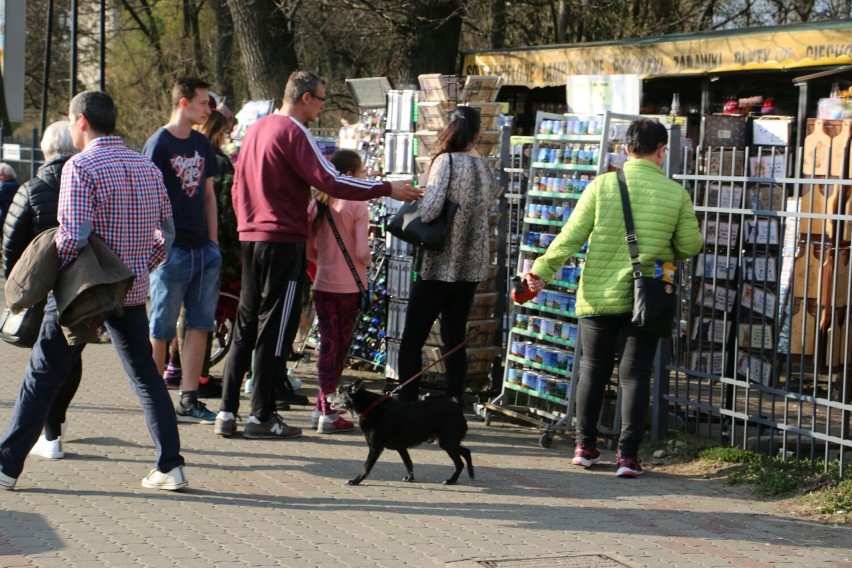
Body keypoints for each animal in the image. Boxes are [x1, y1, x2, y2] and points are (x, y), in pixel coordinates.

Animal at [328, 380, 476, 486]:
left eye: (338, 391)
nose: (326, 395)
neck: (371, 407)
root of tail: (457, 407)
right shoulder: (401, 447)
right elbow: (408, 462)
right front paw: (410, 477)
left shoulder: (375, 448)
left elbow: (366, 467)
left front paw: (356, 480)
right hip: (448, 442)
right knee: (467, 452)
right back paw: (471, 473)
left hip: (447, 442)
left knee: (460, 462)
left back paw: (451, 480)